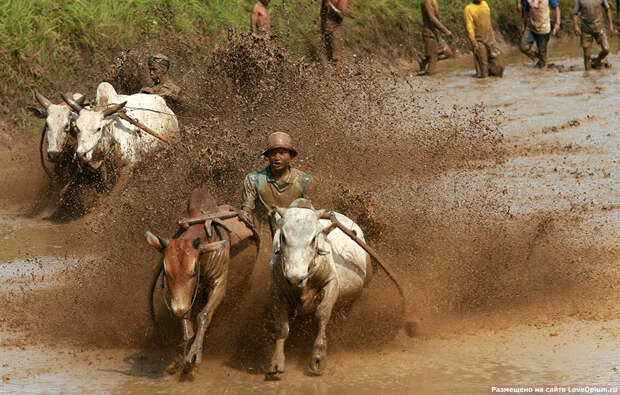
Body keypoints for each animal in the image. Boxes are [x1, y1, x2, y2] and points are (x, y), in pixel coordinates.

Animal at [145, 189, 260, 372]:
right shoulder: (184, 295)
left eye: (193, 268)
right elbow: (186, 317)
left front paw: (195, 351)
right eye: (166, 269)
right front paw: (186, 348)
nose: (178, 309)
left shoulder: (219, 283)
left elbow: (204, 315)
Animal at [268, 200, 370, 376]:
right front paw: (277, 360)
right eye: (283, 237)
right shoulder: (278, 291)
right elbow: (281, 326)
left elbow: (322, 313)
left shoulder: (332, 282)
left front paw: (317, 357)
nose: (295, 277)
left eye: (313, 238)